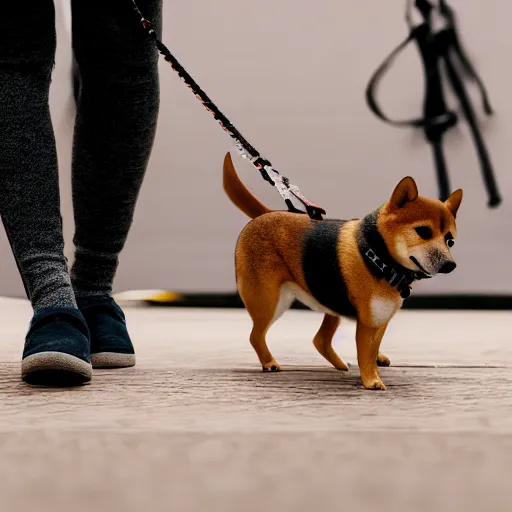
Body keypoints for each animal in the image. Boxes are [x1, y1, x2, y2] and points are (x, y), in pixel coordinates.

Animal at [222, 153, 462, 392]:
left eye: (450, 240)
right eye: (423, 231)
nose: (450, 265)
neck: (377, 256)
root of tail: (265, 215)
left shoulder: (380, 320)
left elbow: (372, 348)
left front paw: (374, 365)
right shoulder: (368, 324)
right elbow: (365, 354)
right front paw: (372, 380)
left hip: (328, 301)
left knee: (320, 340)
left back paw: (340, 364)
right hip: (269, 302)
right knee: (256, 335)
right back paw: (269, 362)